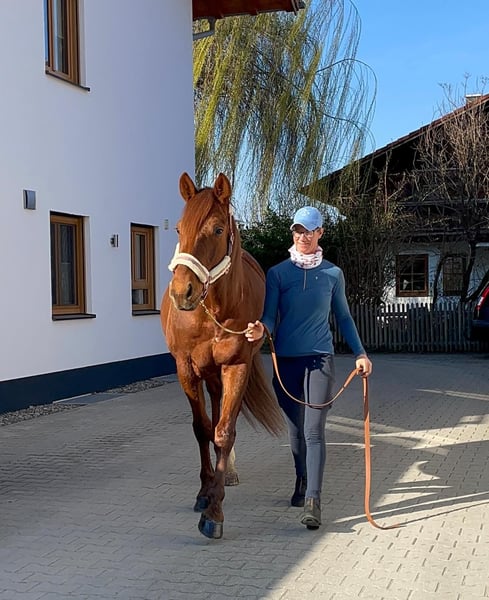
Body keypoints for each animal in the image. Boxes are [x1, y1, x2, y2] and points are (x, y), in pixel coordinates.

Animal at [160, 172, 283, 539]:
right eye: (179, 229)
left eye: (217, 229)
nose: (182, 293)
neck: (212, 311)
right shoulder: (186, 369)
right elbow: (202, 428)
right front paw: (204, 493)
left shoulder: (236, 366)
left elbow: (224, 431)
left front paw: (214, 510)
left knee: (224, 419)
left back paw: (226, 472)